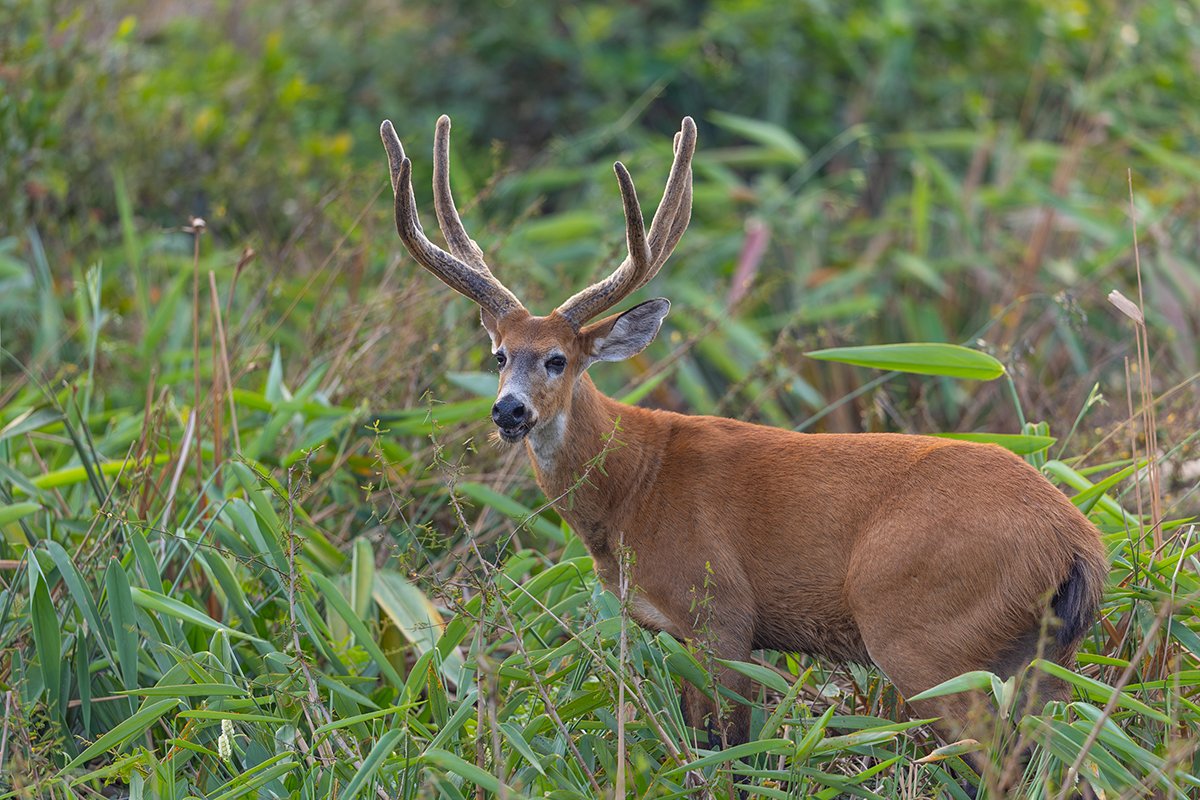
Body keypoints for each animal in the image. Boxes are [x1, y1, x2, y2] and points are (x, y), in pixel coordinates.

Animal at [376, 112, 1104, 767]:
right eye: (499, 355)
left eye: (557, 359)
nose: (509, 411)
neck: (634, 486)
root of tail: (1078, 543)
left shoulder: (720, 611)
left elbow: (724, 748)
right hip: (1042, 658)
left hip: (925, 634)